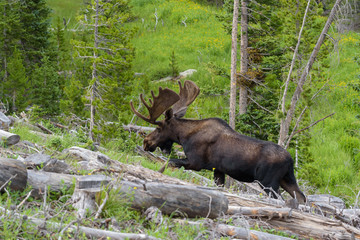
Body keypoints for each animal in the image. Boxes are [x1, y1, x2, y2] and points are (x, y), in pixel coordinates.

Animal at [131, 80, 306, 202]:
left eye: (158, 128)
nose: (146, 142)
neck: (184, 137)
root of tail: (290, 160)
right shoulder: (218, 170)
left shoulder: (196, 162)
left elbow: (169, 163)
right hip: (287, 179)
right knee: (302, 197)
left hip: (268, 181)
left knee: (281, 199)